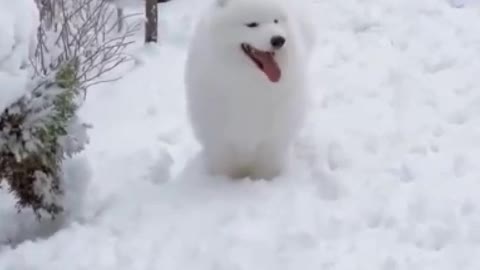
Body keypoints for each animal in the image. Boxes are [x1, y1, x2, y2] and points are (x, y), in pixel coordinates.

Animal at [186, 0, 316, 180]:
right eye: (252, 24)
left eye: (276, 21)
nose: (279, 40)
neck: (250, 83)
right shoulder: (220, 136)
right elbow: (225, 166)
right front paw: (222, 183)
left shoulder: (272, 137)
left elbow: (267, 166)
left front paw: (263, 182)